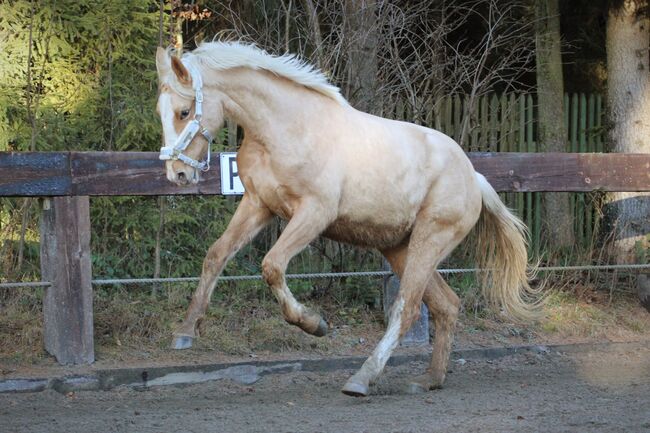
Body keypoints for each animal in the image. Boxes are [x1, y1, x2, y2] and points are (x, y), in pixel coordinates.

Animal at [153, 42, 536, 396]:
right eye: (161, 111)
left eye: (184, 111)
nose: (177, 174)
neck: (286, 127)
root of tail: (474, 176)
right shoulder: (258, 205)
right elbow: (216, 255)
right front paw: (185, 331)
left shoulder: (315, 212)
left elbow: (272, 265)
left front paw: (313, 323)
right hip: (400, 248)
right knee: (446, 305)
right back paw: (428, 380)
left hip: (431, 239)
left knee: (407, 308)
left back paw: (362, 379)